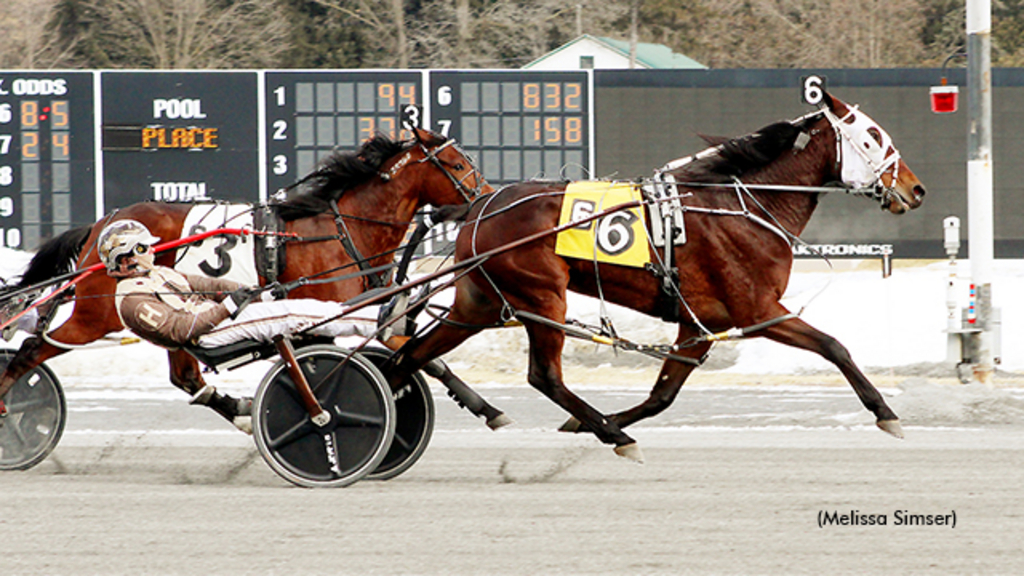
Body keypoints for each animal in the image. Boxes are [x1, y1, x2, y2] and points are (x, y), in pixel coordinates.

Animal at [0, 127, 495, 428]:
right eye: (456, 164)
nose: (487, 196)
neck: (341, 229)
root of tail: (100, 226)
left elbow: (416, 352)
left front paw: (482, 406)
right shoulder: (324, 320)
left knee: (186, 377)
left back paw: (238, 410)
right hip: (96, 316)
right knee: (30, 351)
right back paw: (9, 407)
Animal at [385, 91, 929, 459]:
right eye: (871, 138)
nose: (916, 189)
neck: (745, 204)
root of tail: (479, 204)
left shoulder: (702, 323)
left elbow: (663, 395)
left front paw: (584, 425)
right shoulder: (758, 310)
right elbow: (834, 346)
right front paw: (886, 413)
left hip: (479, 303)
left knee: (411, 357)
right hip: (541, 297)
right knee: (544, 375)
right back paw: (613, 434)